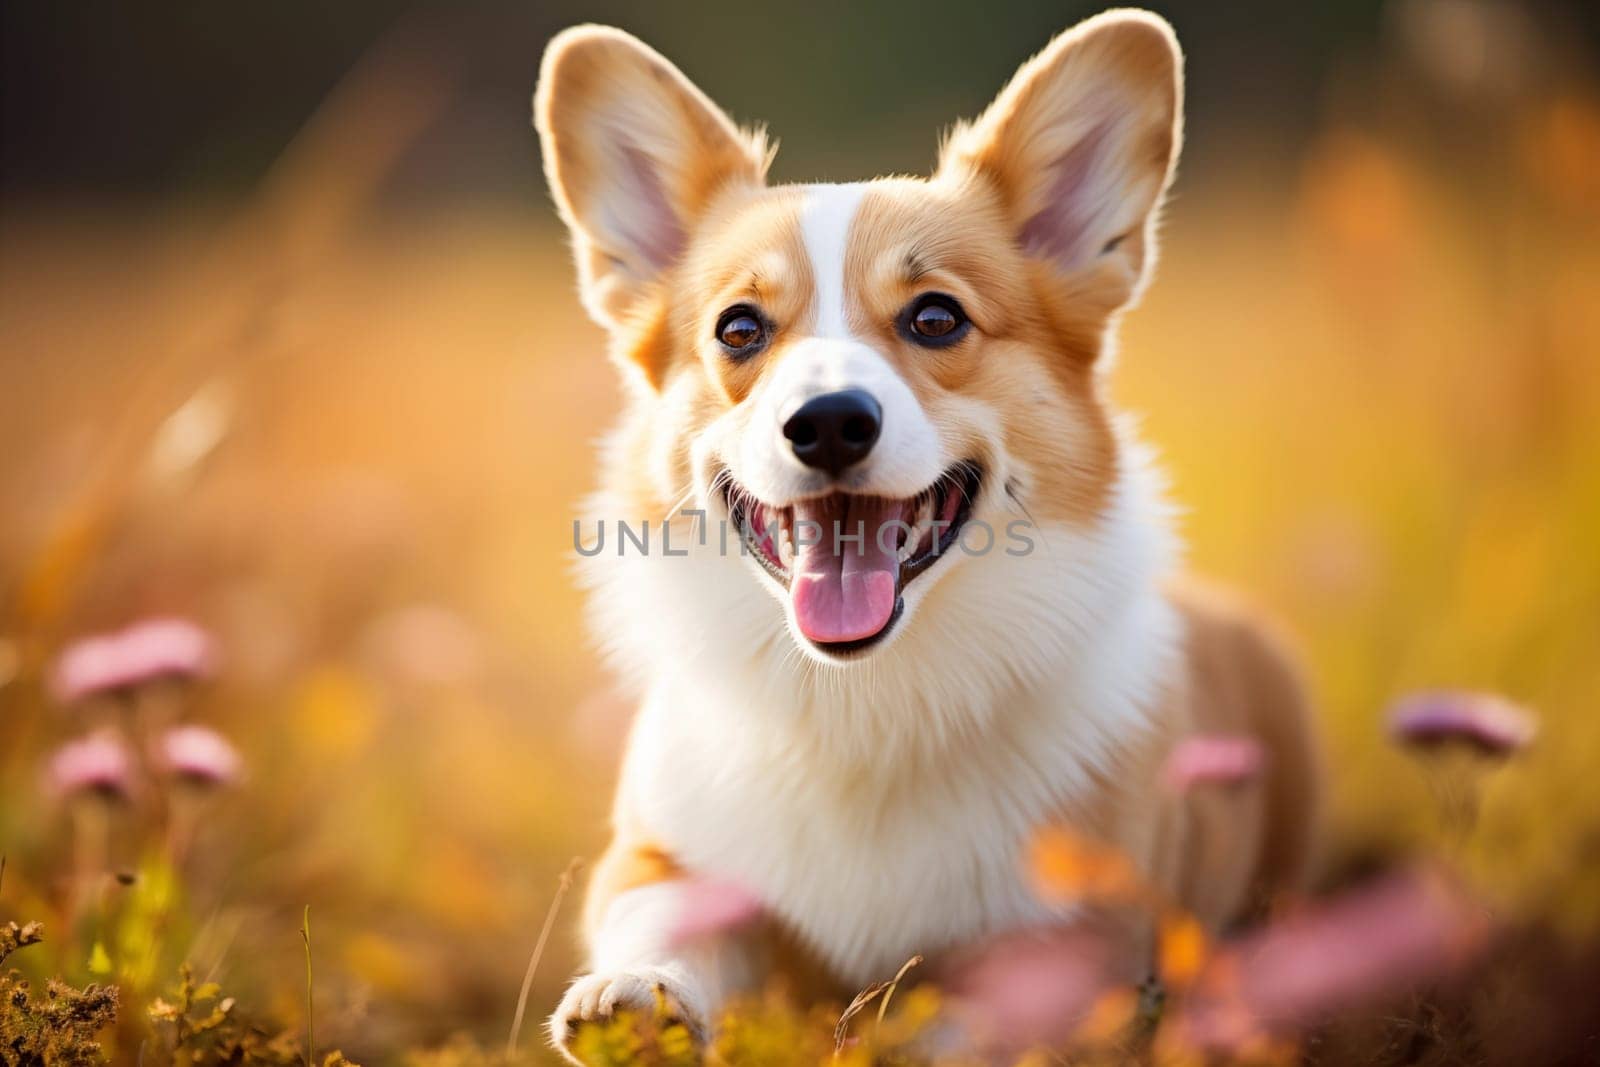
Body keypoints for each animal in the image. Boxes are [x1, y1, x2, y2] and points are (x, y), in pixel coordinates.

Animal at [531, 8, 1318, 1062]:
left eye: (937, 317)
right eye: (738, 330)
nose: (827, 423)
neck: (862, 702)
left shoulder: (1077, 942)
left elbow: (969, 1023)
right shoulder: (653, 852)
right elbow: (665, 916)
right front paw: (636, 995)